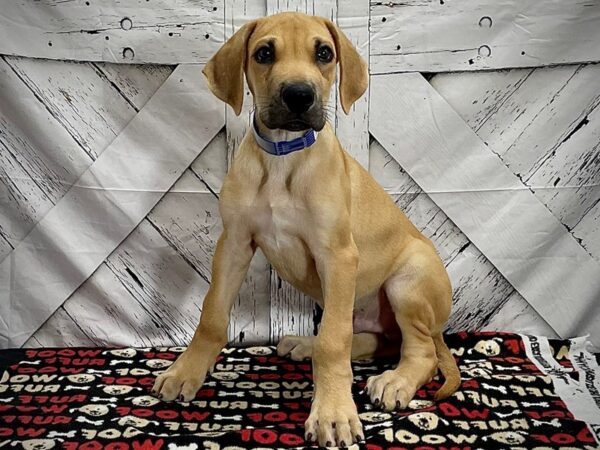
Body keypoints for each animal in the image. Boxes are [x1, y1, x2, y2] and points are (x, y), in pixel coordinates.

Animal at [152, 12, 462, 448]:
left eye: (325, 53)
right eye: (264, 53)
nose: (299, 95)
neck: (285, 156)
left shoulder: (338, 256)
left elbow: (334, 342)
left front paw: (332, 413)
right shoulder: (234, 244)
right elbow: (212, 315)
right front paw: (185, 372)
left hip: (409, 280)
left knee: (419, 352)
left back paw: (395, 382)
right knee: (379, 340)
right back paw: (305, 343)